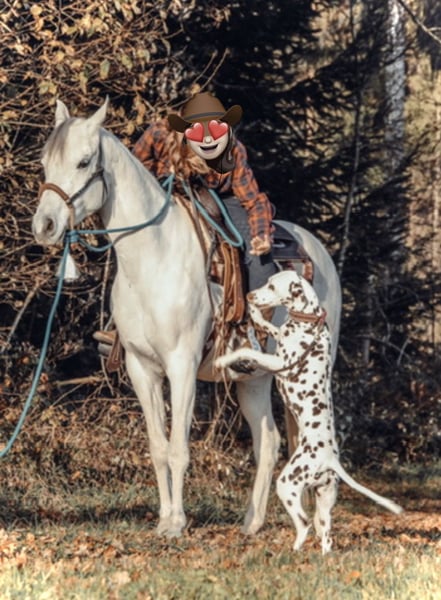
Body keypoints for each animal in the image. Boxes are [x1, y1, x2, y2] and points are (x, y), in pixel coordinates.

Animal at [32, 98, 342, 538]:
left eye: (83, 161)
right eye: (45, 161)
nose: (44, 225)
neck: (153, 256)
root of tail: (319, 252)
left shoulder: (182, 366)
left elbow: (179, 448)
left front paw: (177, 523)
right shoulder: (141, 368)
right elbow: (158, 447)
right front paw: (164, 518)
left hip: (313, 371)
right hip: (254, 379)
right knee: (269, 441)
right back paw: (252, 521)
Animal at [215, 271, 402, 553]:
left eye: (272, 286)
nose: (249, 295)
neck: (309, 322)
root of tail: (329, 460)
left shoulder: (278, 362)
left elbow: (246, 350)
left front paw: (223, 360)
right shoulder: (278, 339)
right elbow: (268, 328)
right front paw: (256, 315)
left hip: (287, 484)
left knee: (303, 523)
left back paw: (291, 552)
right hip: (324, 504)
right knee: (325, 535)